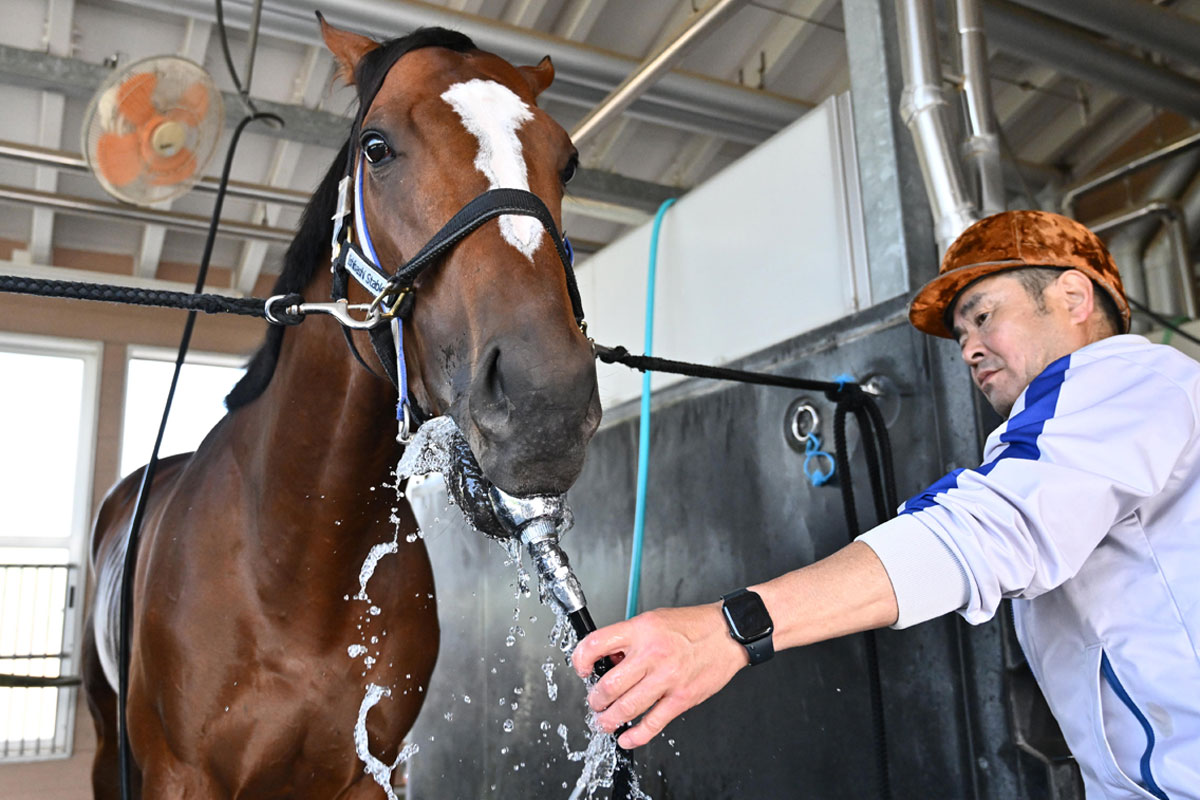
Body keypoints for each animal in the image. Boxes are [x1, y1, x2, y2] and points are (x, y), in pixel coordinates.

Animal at [80, 18, 601, 799]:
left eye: (566, 163)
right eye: (375, 147)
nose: (546, 399)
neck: (296, 570)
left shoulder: (372, 772)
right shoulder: (179, 774)